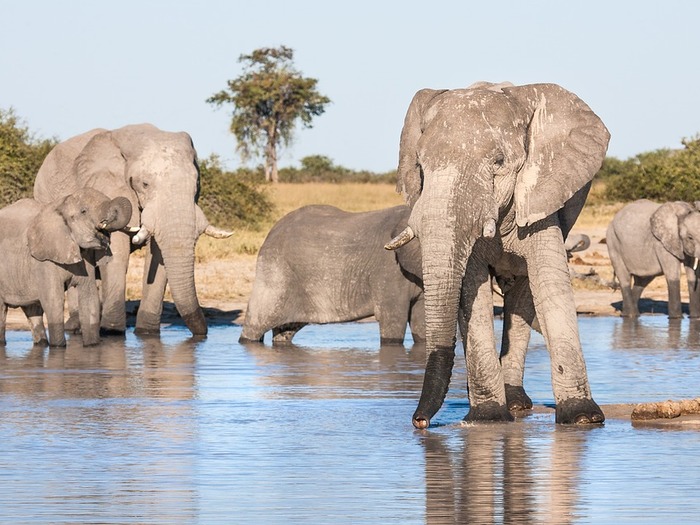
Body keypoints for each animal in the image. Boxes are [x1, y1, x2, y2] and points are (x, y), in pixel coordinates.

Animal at [0, 187, 131, 344]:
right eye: (84, 211)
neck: (61, 205)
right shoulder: (43, 261)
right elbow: (54, 301)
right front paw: (58, 347)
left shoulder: (85, 258)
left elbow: (89, 298)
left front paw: (92, 346)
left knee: (34, 311)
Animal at [34, 124, 231, 336]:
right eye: (144, 184)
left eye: (196, 184)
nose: (203, 334)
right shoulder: (108, 187)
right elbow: (117, 252)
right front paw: (112, 332)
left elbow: (159, 256)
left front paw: (146, 333)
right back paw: (75, 326)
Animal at [239, 204, 426, 344]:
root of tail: (271, 231)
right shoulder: (388, 271)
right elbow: (393, 320)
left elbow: (420, 322)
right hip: (274, 274)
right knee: (256, 325)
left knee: (285, 330)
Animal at [386, 81, 608, 426]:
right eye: (420, 167)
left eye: (498, 163)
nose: (419, 421)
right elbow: (471, 291)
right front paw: (487, 418)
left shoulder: (540, 195)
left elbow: (550, 283)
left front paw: (583, 418)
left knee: (523, 292)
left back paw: (517, 404)